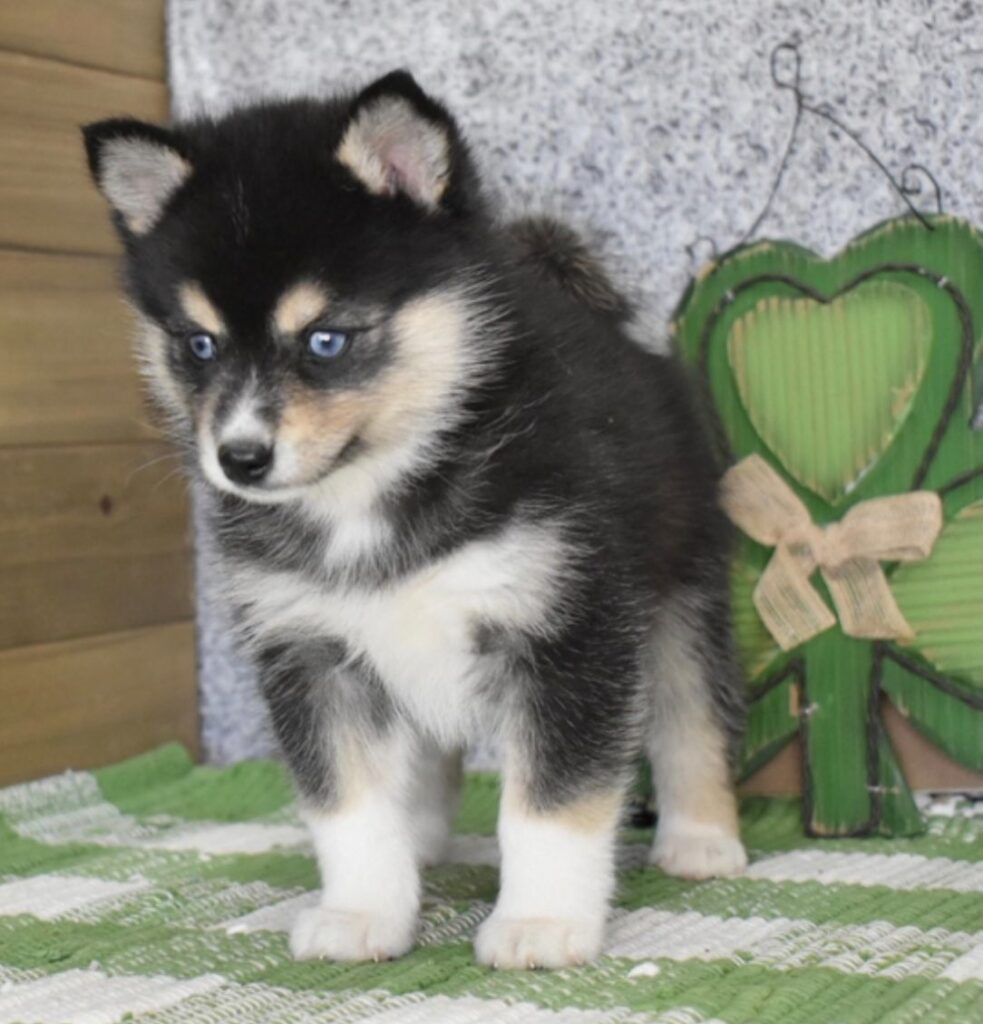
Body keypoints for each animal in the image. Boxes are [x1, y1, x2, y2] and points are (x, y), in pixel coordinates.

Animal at [83, 70, 747, 970]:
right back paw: (423, 842)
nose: (239, 457)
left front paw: (541, 922)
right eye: (198, 345)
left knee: (690, 717)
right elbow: (348, 806)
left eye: (327, 339)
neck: (374, 493)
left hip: (683, 588)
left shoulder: (565, 628)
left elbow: (551, 801)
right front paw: (364, 911)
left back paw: (702, 840)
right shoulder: (312, 651)